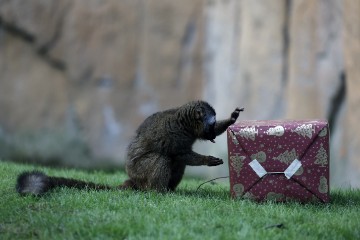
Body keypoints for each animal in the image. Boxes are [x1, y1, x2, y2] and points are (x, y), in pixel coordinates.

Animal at [15, 100, 243, 196]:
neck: (183, 122)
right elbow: (180, 154)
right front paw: (208, 160)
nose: (211, 133)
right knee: (164, 158)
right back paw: (159, 192)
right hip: (140, 172)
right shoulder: (174, 135)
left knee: (175, 163)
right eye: (210, 124)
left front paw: (231, 120)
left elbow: (181, 157)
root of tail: (132, 179)